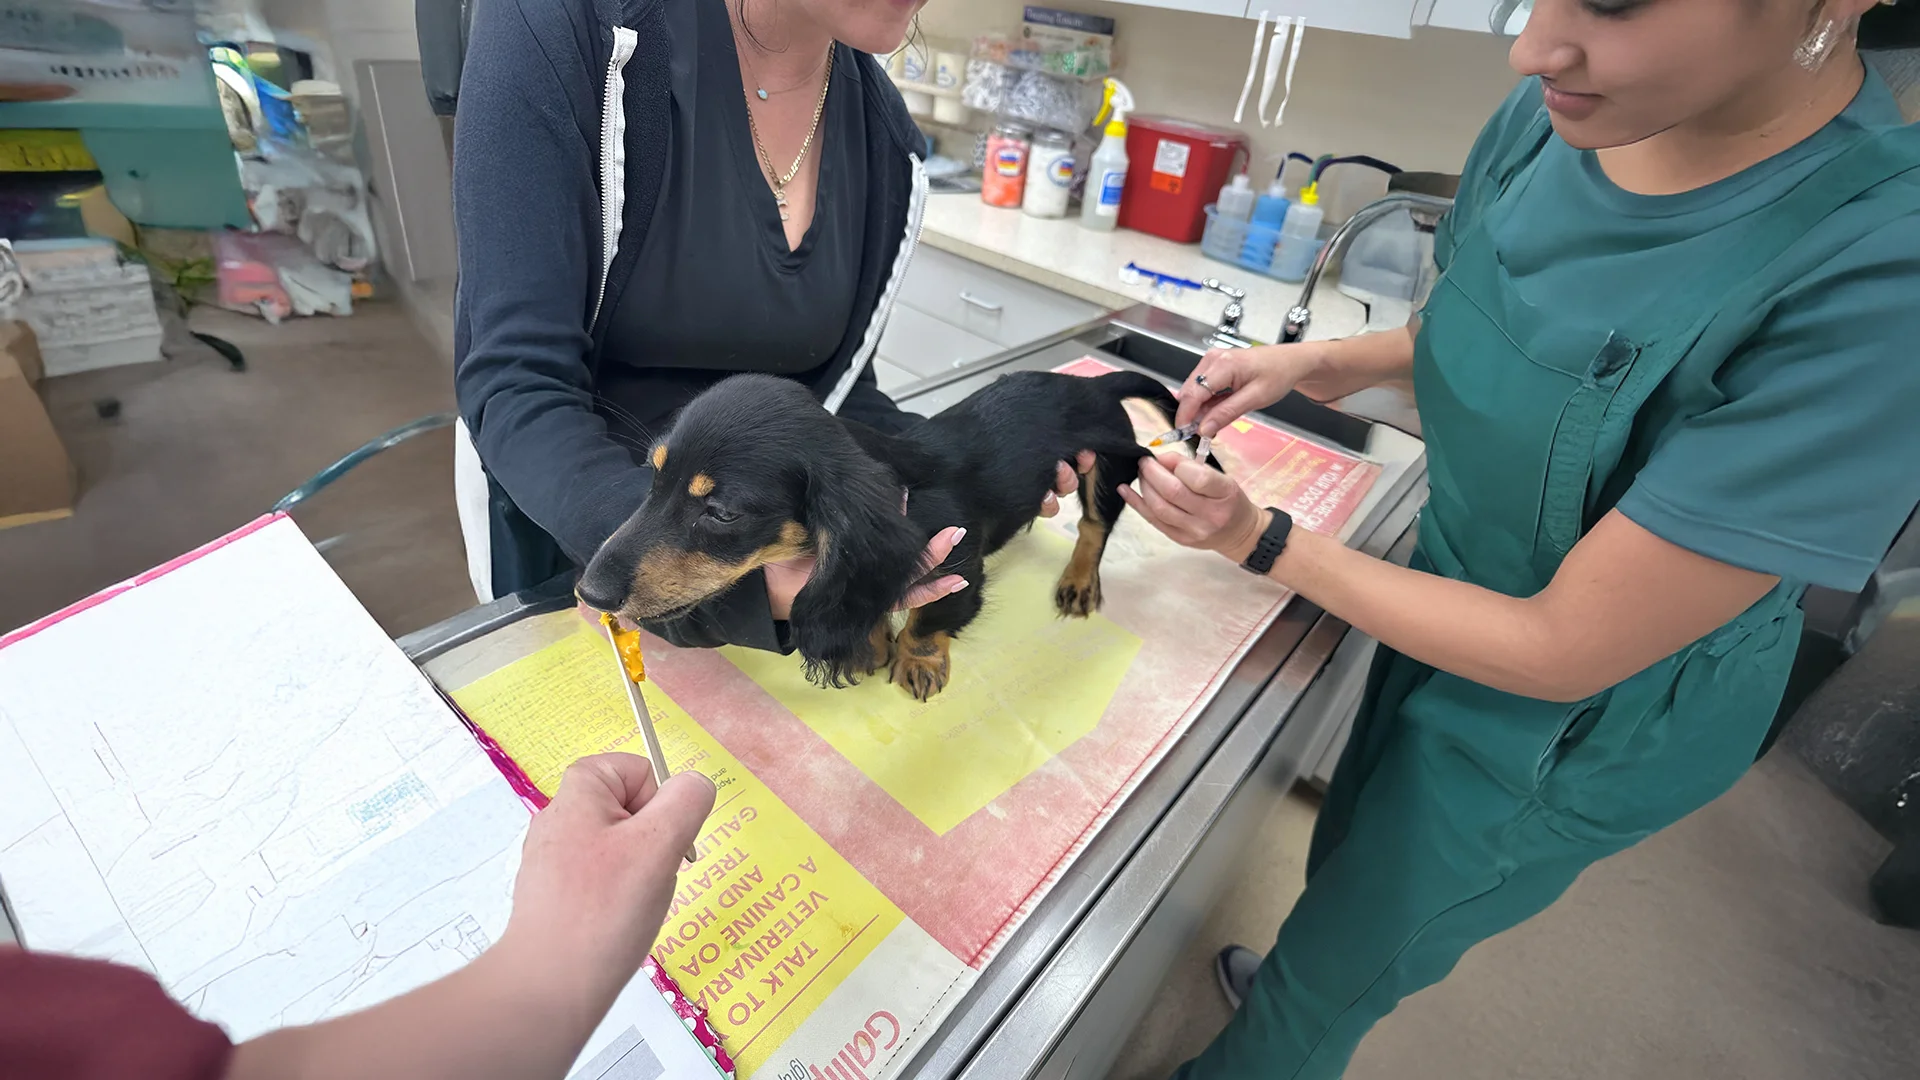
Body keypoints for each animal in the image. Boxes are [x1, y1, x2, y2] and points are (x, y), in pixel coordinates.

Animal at [572, 368, 1213, 703]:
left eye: (722, 513)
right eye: (653, 478)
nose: (588, 592)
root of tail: (1096, 384)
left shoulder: (960, 567)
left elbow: (928, 619)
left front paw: (917, 660)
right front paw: (872, 643)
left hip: (1107, 465)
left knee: (1094, 524)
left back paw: (1079, 581)